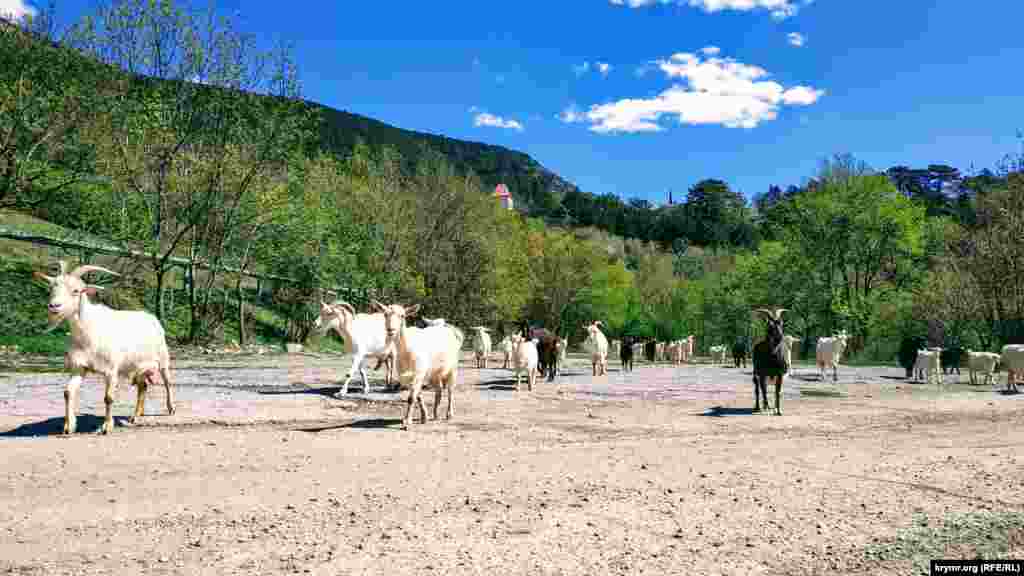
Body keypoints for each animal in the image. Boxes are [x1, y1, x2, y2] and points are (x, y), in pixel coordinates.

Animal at [34, 258, 173, 432]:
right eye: (52, 288)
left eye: (76, 290)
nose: (54, 306)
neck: (89, 333)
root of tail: (152, 318)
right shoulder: (79, 367)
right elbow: (68, 392)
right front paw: (68, 426)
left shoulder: (111, 370)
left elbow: (108, 398)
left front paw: (107, 426)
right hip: (135, 366)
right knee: (143, 386)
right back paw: (135, 416)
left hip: (163, 359)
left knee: (167, 381)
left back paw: (170, 408)